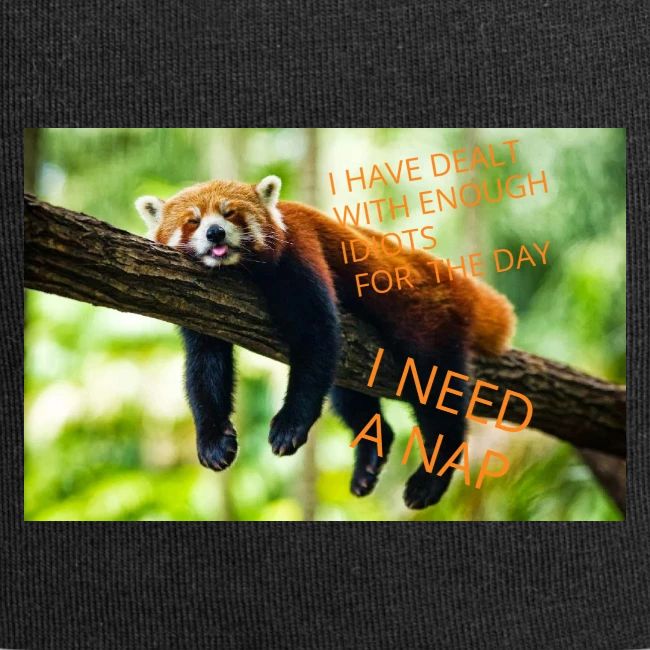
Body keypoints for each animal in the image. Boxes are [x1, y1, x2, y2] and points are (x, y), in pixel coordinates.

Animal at [135, 175, 515, 509]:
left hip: (427, 322)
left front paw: (290, 425)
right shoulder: (200, 304)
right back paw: (369, 458)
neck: (239, 271)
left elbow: (316, 337)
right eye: (193, 221)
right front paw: (213, 441)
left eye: (230, 214)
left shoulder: (300, 253)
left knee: (436, 391)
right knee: (348, 395)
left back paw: (431, 477)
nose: (215, 232)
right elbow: (205, 367)